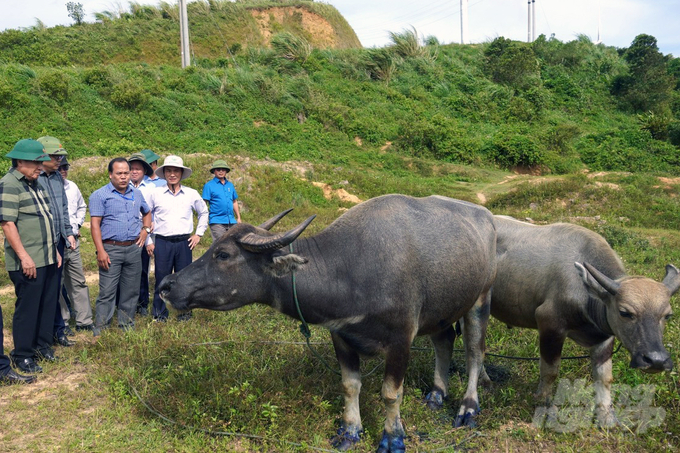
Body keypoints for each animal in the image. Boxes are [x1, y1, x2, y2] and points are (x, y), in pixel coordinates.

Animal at [160, 193, 500, 448]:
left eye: (224, 254)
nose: (166, 285)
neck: (351, 268)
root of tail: (487, 219)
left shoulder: (401, 339)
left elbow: (391, 393)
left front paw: (392, 438)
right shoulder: (341, 335)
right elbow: (350, 385)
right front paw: (350, 432)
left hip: (480, 299)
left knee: (474, 352)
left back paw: (468, 408)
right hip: (443, 309)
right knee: (444, 342)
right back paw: (436, 394)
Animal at [484, 217, 676, 426]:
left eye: (667, 315)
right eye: (625, 312)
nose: (656, 360)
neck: (585, 291)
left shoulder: (604, 337)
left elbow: (604, 377)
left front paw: (606, 416)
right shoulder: (550, 324)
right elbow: (550, 371)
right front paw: (543, 402)